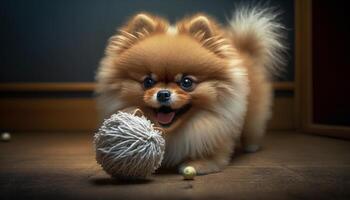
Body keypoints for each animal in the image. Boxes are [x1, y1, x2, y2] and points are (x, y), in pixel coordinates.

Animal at [95, 7, 284, 174]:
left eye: (186, 82)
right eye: (148, 82)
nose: (163, 93)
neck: (174, 132)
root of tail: (244, 50)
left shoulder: (218, 128)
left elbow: (214, 153)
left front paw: (199, 164)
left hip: (253, 114)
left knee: (253, 127)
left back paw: (251, 146)